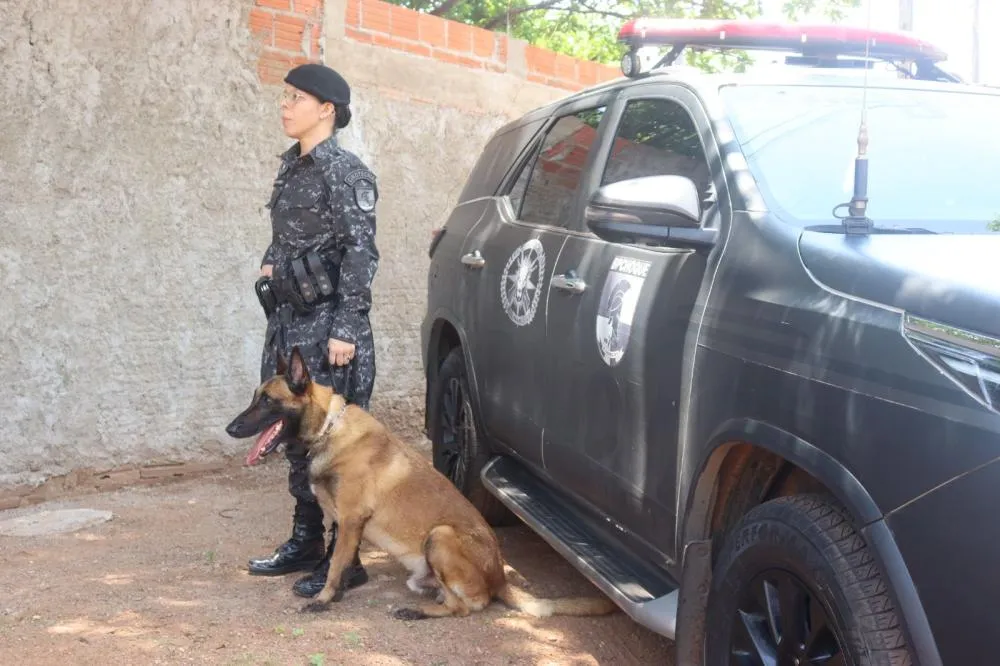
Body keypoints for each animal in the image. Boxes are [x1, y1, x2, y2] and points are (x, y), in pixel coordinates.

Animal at [225, 344, 616, 620]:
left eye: (268, 401)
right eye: (254, 398)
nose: (230, 428)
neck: (328, 429)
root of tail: (500, 579)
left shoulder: (350, 519)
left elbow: (335, 564)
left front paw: (323, 599)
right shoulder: (344, 522)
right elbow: (341, 559)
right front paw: (337, 591)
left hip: (440, 536)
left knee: (469, 606)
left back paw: (417, 612)